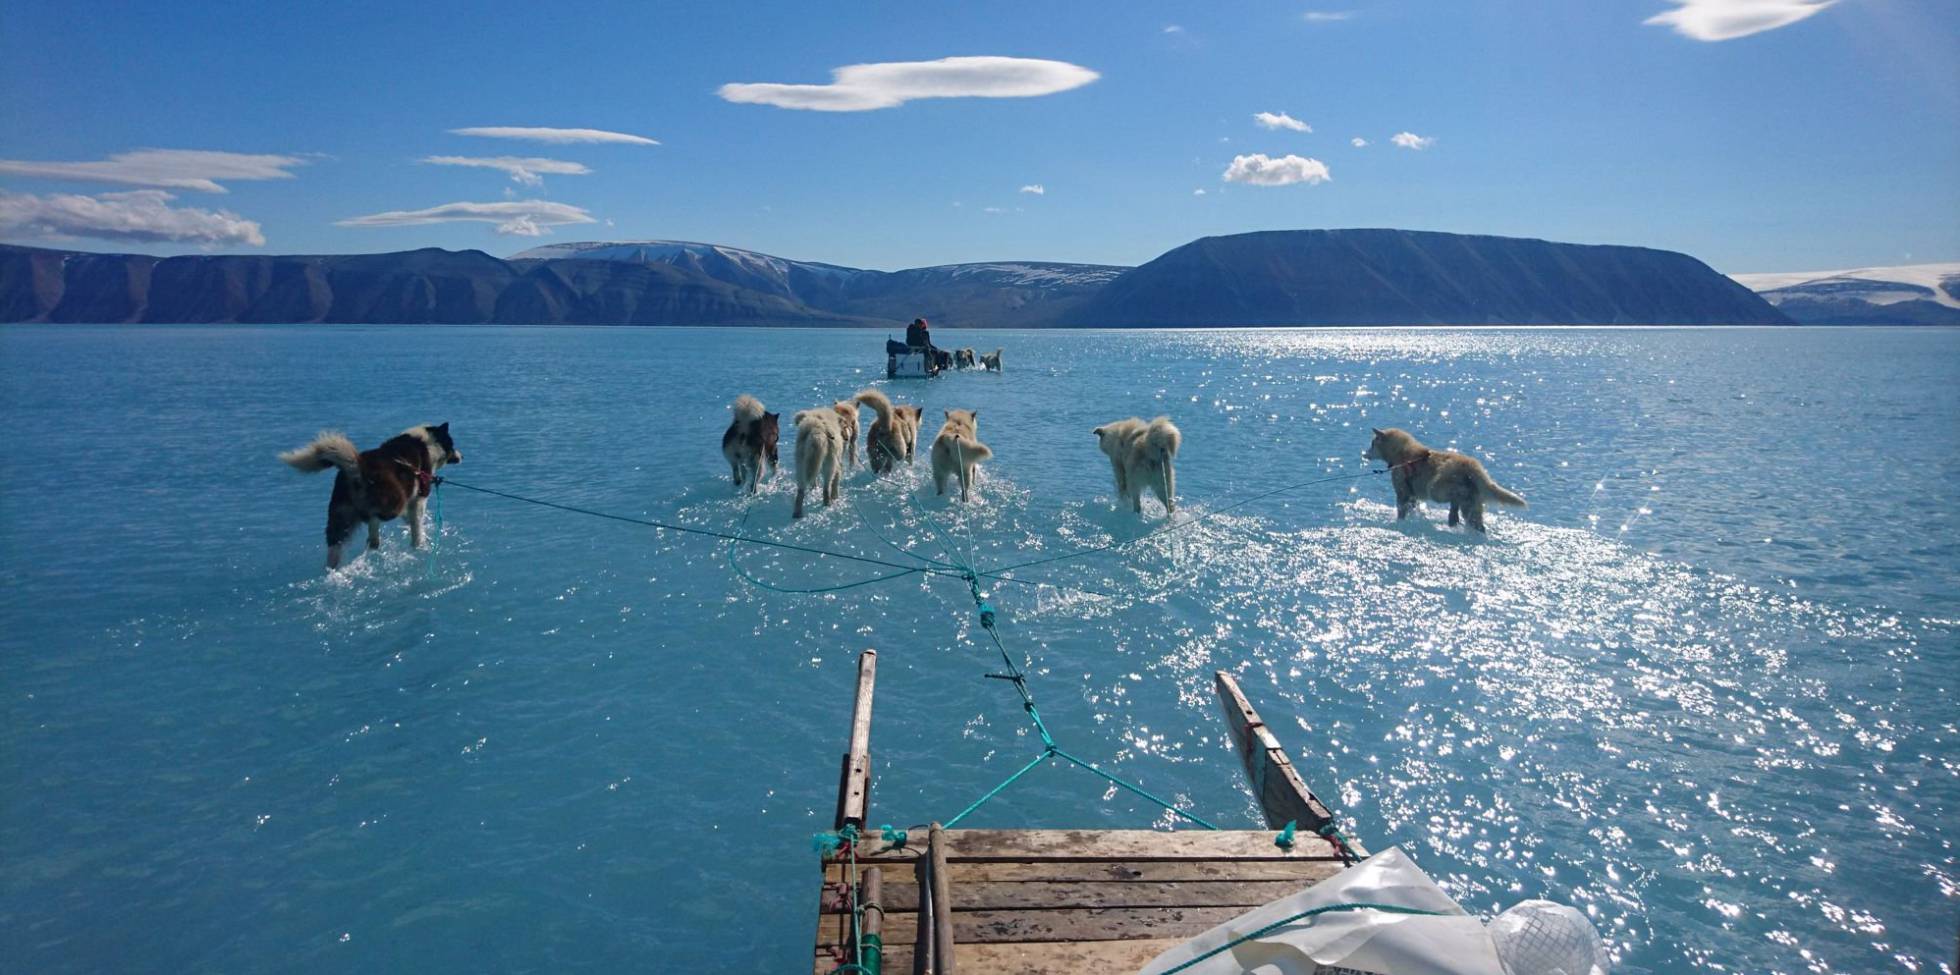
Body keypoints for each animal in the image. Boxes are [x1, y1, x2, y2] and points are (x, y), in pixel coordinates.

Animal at [280, 419, 462, 568]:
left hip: (340, 515)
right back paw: (373, 539)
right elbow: (417, 526)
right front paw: (419, 544)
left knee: (335, 544)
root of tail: (357, 467)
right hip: (393, 500)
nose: (461, 455)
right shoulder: (419, 498)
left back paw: (335, 566)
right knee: (374, 517)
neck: (427, 442)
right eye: (452, 444)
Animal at [1372, 427, 1520, 533]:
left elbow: (1401, 508)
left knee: (1453, 495)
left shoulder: (1402, 490)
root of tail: (1471, 465)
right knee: (1475, 520)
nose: (1366, 454)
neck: (1402, 453)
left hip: (1437, 485)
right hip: (1474, 500)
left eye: (1372, 443)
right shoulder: (1412, 494)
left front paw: (1400, 521)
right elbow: (1412, 507)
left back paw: (1454, 513)